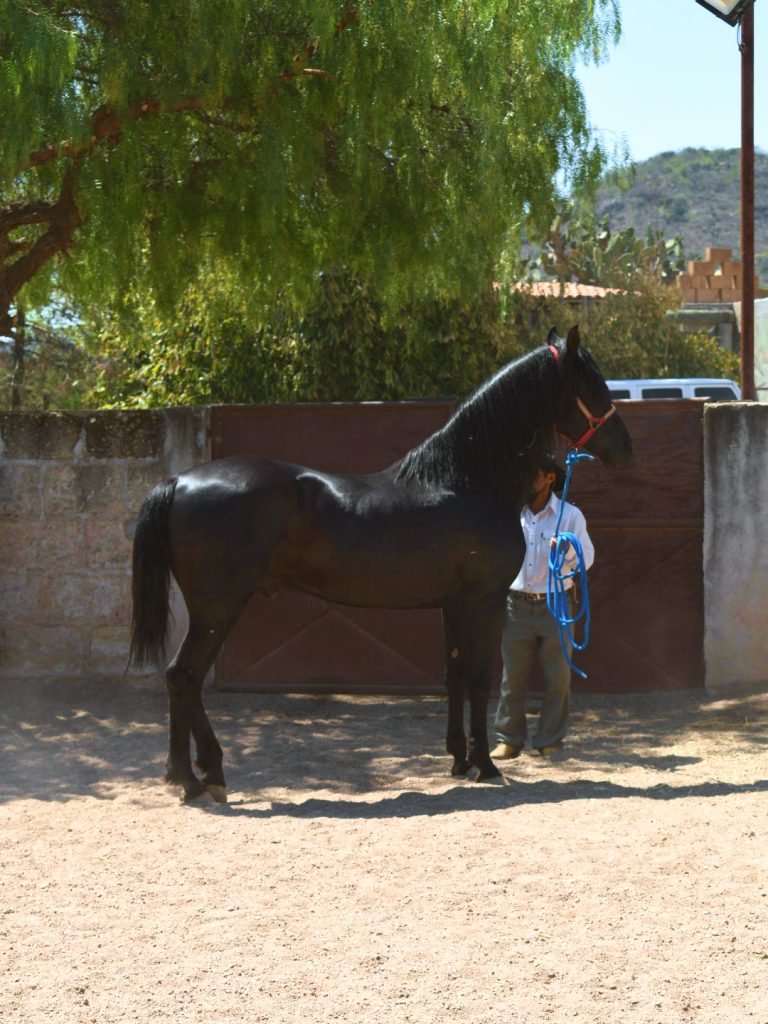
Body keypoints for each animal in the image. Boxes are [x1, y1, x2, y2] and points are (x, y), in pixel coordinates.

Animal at [130, 325, 632, 802]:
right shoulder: (484, 601)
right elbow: (480, 677)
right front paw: (486, 766)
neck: (467, 481)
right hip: (219, 607)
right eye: (594, 385)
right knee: (183, 676)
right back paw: (192, 780)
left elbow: (454, 673)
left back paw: (207, 773)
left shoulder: (454, 604)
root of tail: (181, 481)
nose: (626, 448)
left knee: (187, 680)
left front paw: (459, 760)